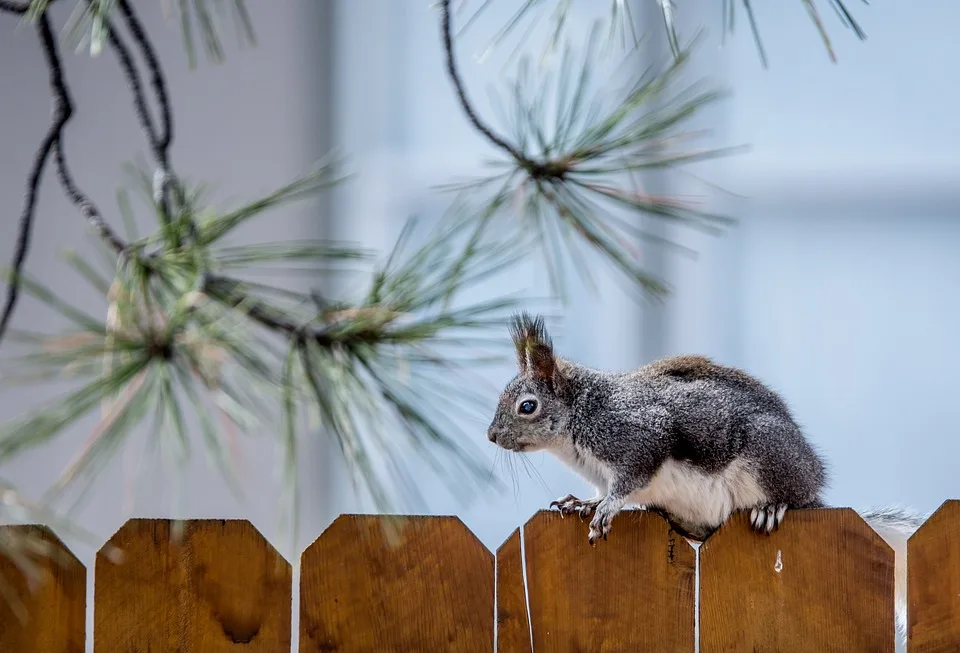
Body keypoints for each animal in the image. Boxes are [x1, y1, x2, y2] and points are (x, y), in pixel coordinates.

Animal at [492, 310, 928, 636]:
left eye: (527, 406)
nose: (491, 435)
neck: (580, 417)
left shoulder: (638, 437)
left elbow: (630, 479)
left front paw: (607, 509)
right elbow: (603, 491)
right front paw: (582, 502)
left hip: (768, 456)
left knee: (791, 495)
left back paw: (773, 506)